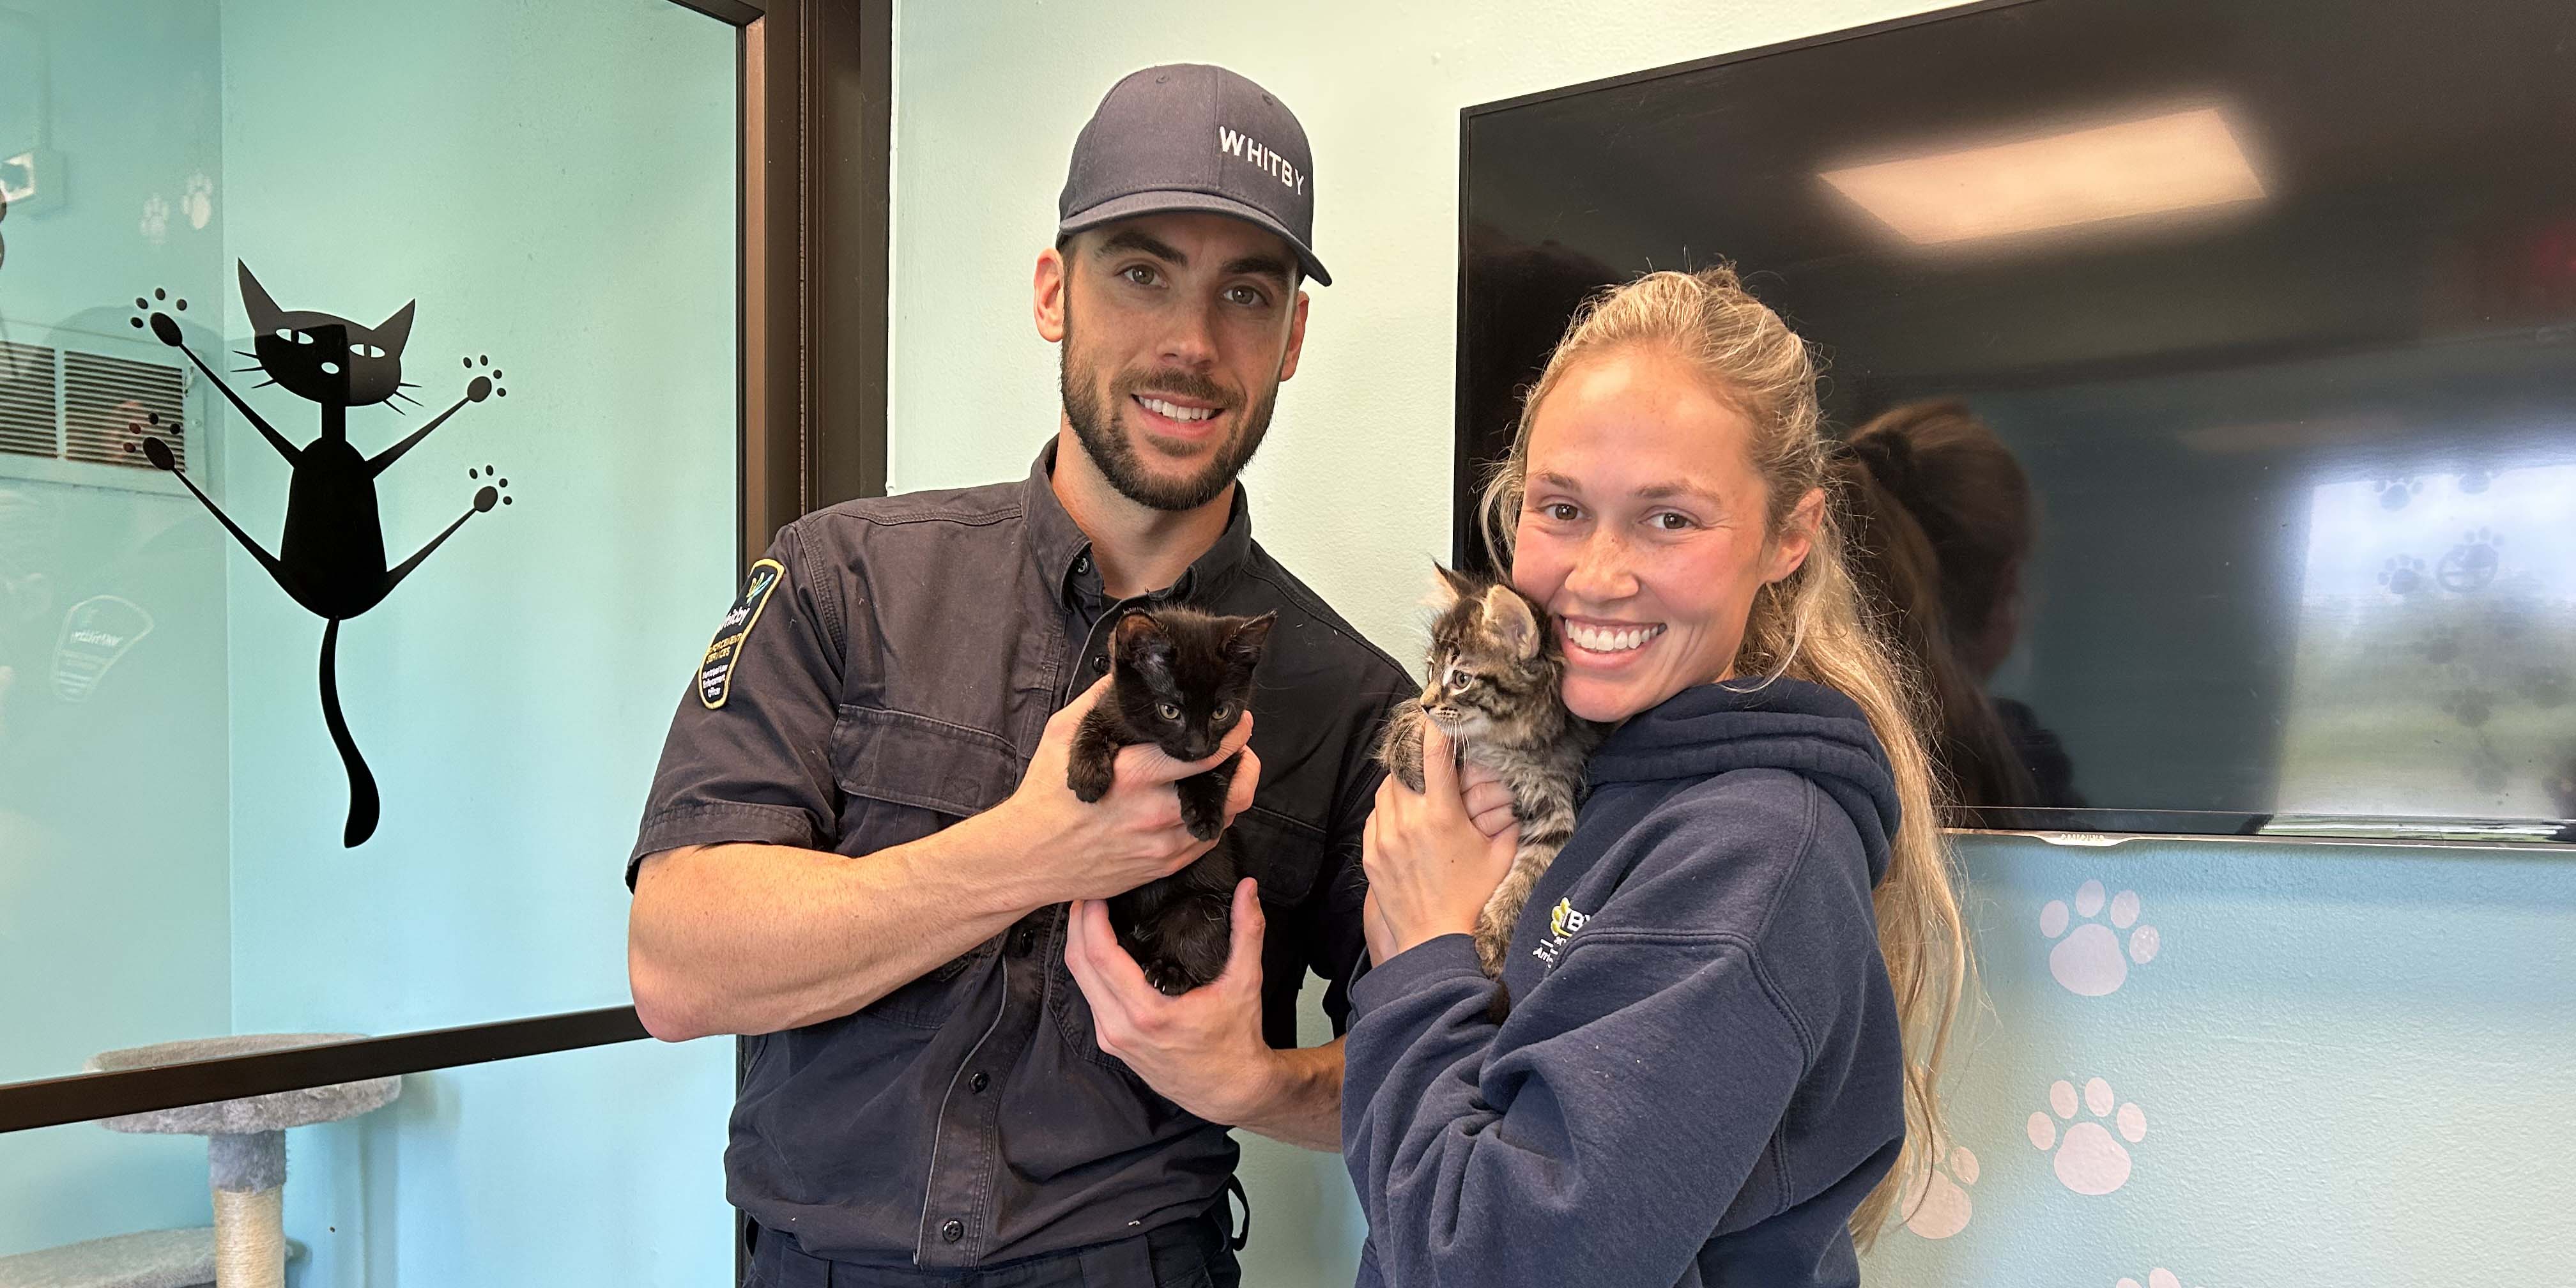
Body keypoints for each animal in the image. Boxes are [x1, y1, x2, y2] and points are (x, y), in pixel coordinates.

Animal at [1066, 602, 1277, 994]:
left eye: (1220, 712)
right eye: (1170, 710)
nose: (1197, 747)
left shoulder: (1231, 747)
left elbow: (1213, 770)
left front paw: (1205, 817)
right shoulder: (1109, 706)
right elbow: (1092, 723)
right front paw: (1086, 774)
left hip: (1201, 903)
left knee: (1198, 932)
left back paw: (1171, 971)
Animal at [1381, 564, 1597, 974]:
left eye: (1461, 679)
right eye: (1431, 670)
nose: (1428, 702)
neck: (1500, 745)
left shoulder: (1554, 801)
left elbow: (1532, 872)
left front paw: (1496, 934)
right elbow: (1404, 719)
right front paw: (1410, 759)